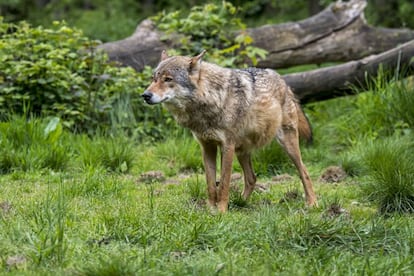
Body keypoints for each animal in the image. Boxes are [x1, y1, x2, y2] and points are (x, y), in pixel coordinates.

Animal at [142, 50, 316, 212]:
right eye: (153, 79)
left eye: (168, 79)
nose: (145, 95)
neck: (211, 98)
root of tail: (283, 80)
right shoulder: (207, 147)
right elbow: (211, 184)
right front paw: (210, 209)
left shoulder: (227, 146)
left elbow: (224, 183)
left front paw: (221, 211)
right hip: (242, 151)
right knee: (252, 178)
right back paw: (240, 202)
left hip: (287, 144)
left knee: (304, 171)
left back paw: (312, 204)